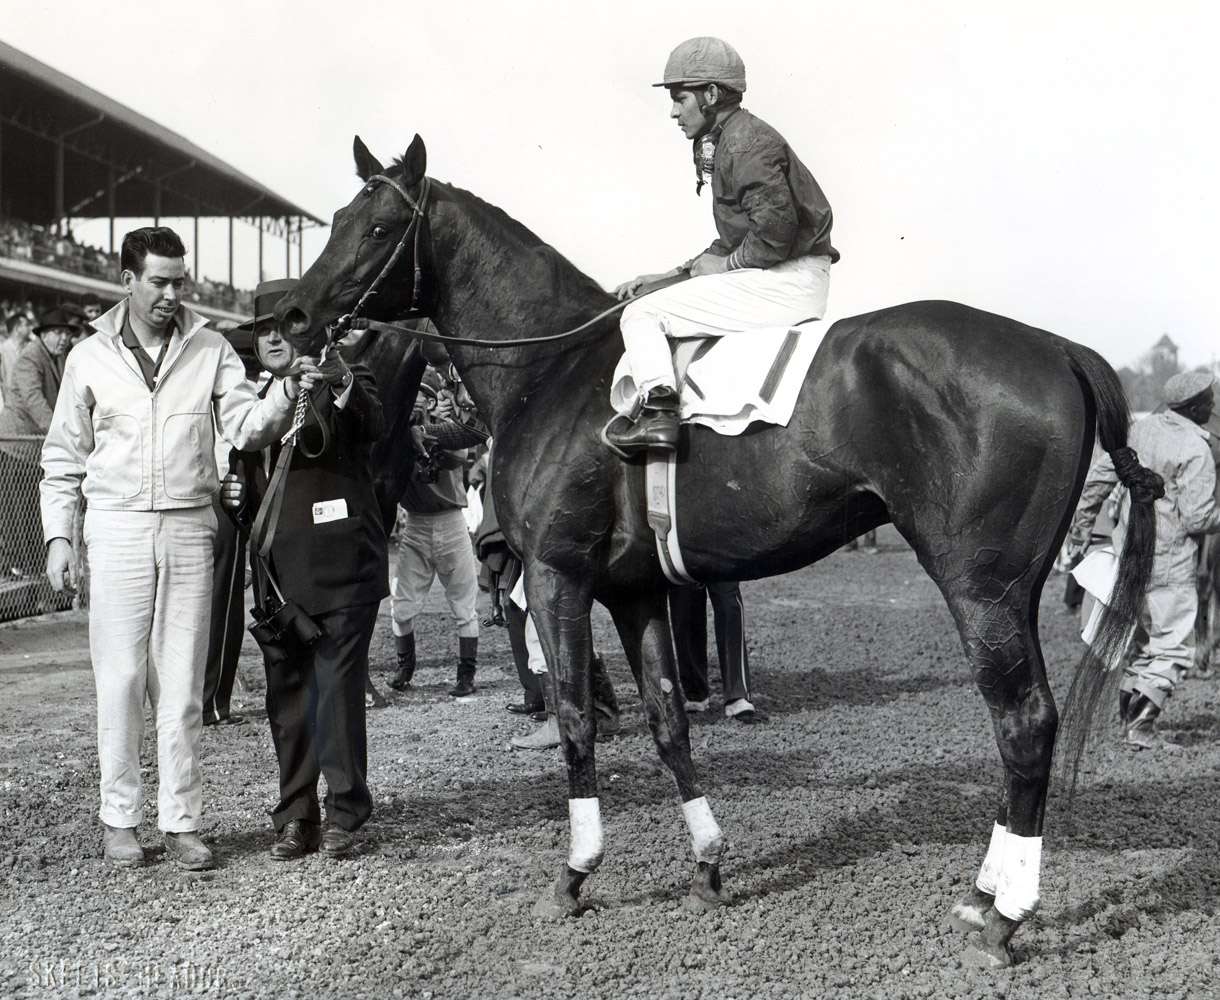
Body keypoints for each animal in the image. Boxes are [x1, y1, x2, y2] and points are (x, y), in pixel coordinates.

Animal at [276, 134, 1161, 970]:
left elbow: (575, 718)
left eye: (379, 227)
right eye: (338, 217)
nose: (291, 319)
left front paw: (574, 875)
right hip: (1012, 587)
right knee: (1023, 723)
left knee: (1024, 721)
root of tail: (1057, 347)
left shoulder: (558, 576)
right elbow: (668, 718)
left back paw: (1007, 917)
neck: (552, 371)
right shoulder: (633, 592)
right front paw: (706, 864)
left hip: (981, 586)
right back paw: (983, 897)